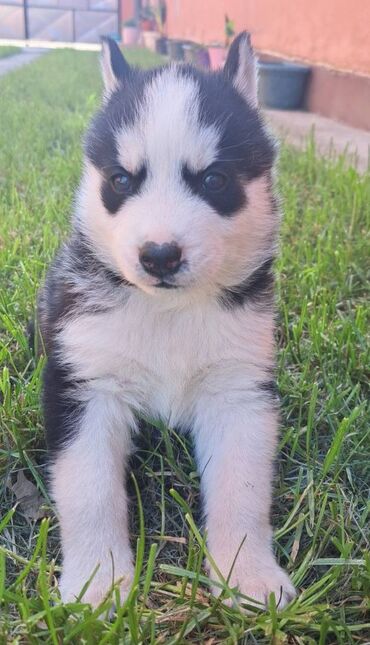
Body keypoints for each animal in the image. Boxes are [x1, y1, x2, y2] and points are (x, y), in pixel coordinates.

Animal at [38, 32, 294, 608]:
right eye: (121, 180)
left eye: (214, 179)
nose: (158, 255)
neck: (169, 312)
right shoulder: (85, 385)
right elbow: (88, 490)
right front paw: (98, 583)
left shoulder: (238, 389)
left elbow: (242, 489)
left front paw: (247, 574)